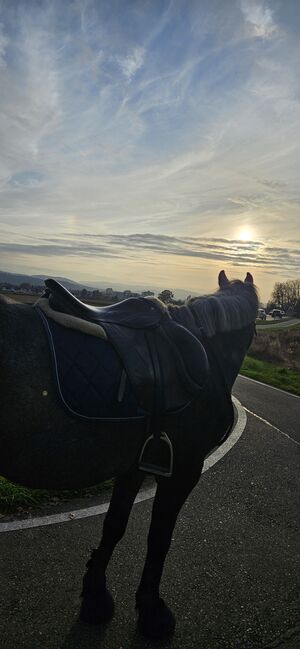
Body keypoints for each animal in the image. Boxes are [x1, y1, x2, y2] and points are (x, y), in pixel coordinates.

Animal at [0, 268, 258, 636]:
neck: (209, 353)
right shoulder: (184, 470)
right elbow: (159, 537)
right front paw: (152, 609)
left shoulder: (135, 465)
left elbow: (115, 525)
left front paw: (95, 595)